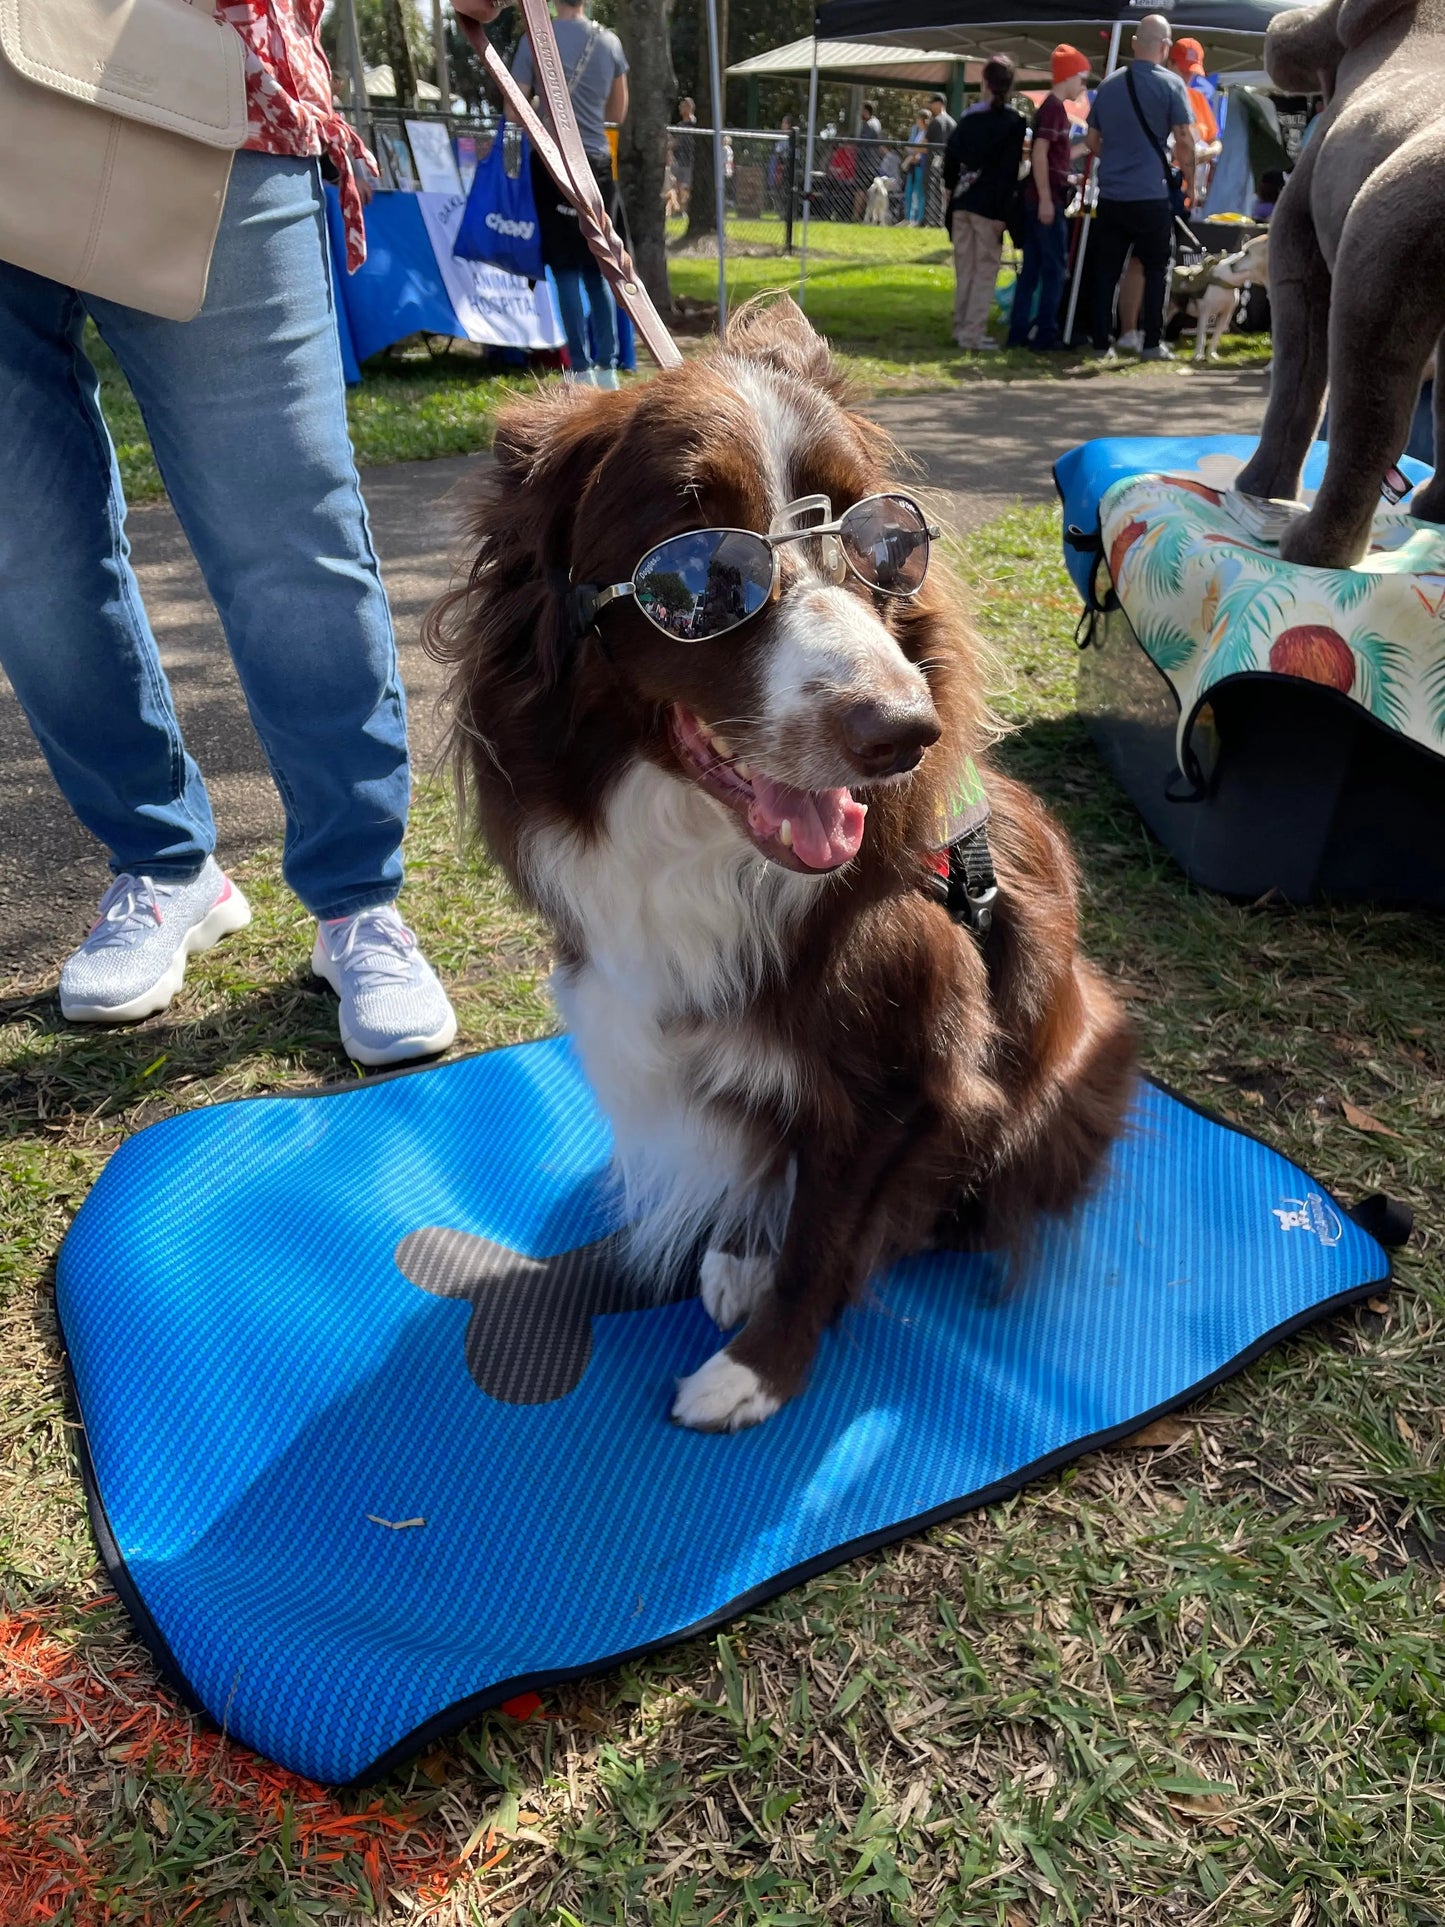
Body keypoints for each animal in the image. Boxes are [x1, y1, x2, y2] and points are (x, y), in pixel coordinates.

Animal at [423, 296, 1140, 1433]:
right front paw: (739, 1255)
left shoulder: (904, 1073)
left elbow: (827, 1232)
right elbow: (760, 1168)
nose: (904, 735)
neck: (707, 847)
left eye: (885, 542)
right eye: (695, 576)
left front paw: (755, 1370)